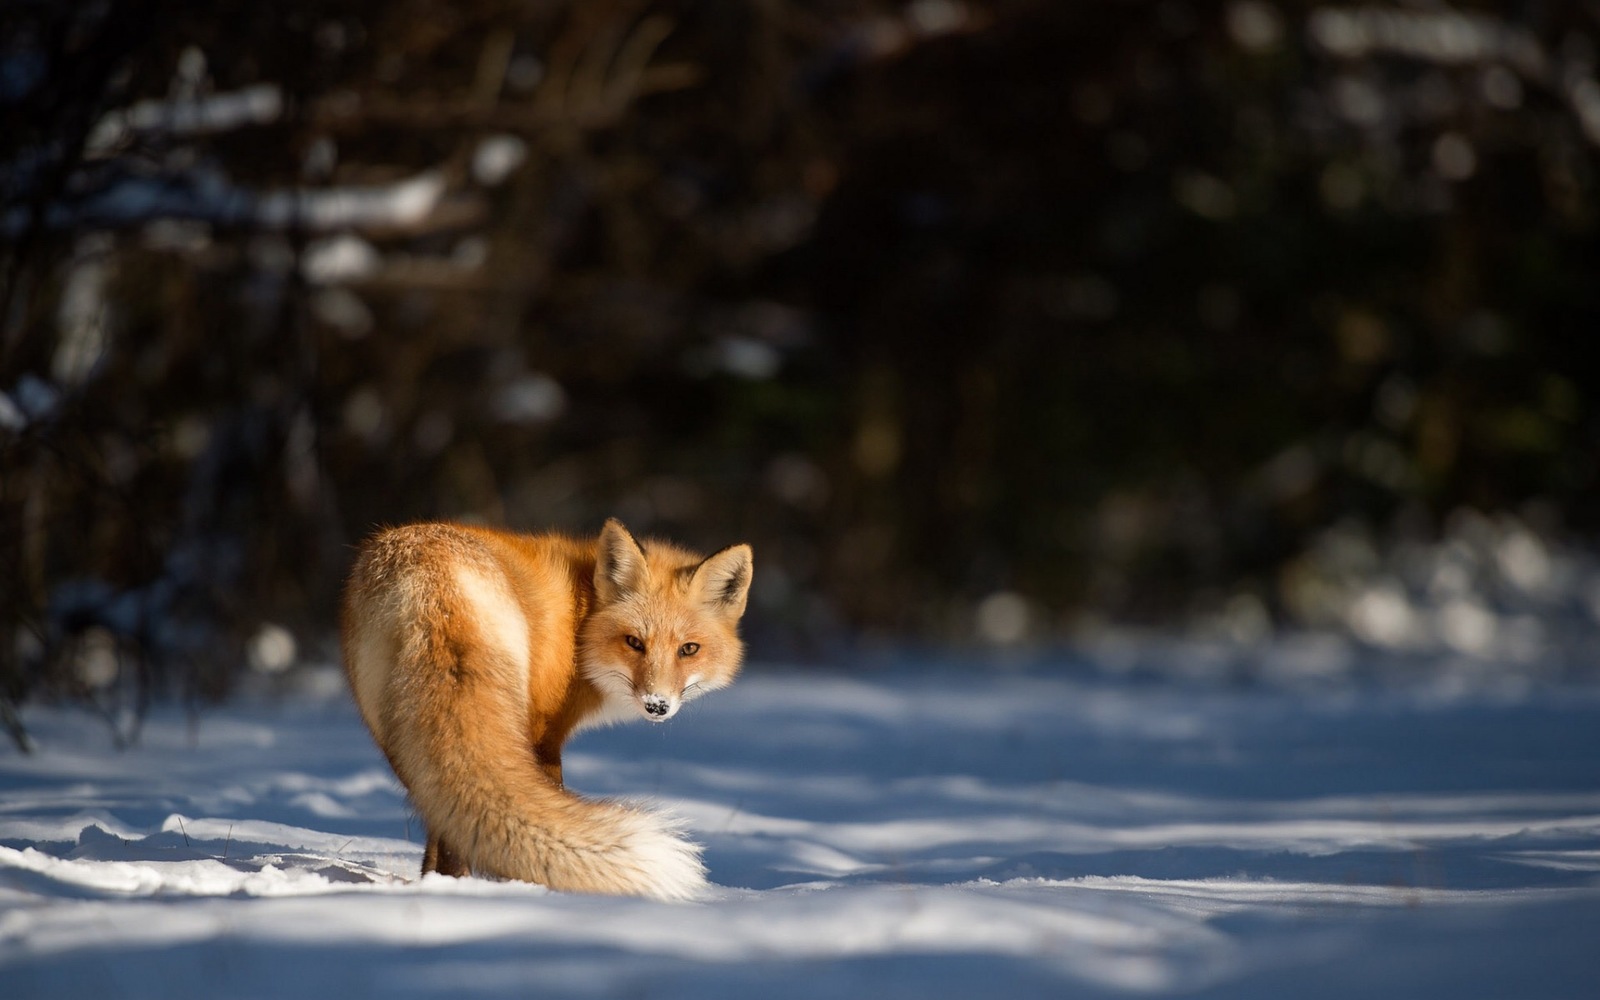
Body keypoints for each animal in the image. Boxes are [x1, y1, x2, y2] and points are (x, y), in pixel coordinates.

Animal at [337, 518, 748, 902]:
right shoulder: (546, 735)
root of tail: (430, 581)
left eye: (689, 649)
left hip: (398, 736)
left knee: (438, 811)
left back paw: (438, 887)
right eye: (634, 642)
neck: (580, 619)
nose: (657, 705)